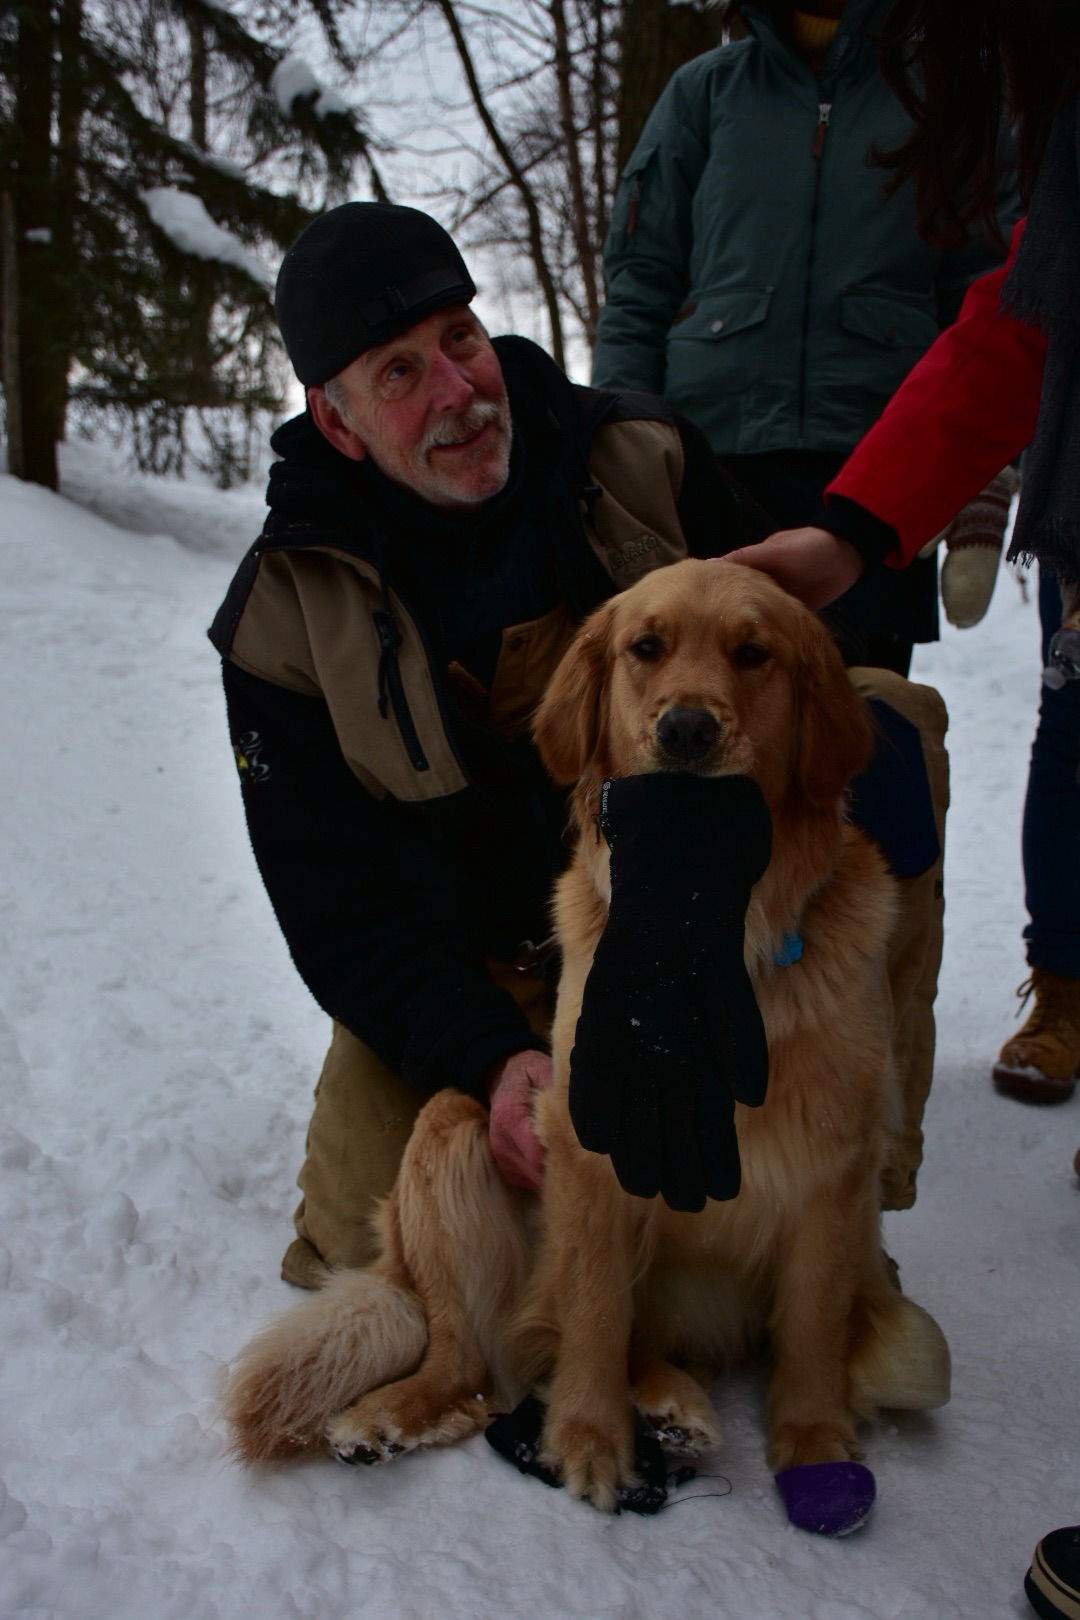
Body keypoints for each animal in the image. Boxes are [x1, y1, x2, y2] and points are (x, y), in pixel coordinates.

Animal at [223, 563, 952, 1509]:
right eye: (646, 647)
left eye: (753, 654)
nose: (686, 729)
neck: (704, 939)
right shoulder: (588, 1147)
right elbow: (597, 1307)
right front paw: (587, 1438)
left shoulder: (834, 1171)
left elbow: (813, 1329)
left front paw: (816, 1445)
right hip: (453, 1132)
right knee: (474, 1369)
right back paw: (392, 1416)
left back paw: (674, 1407)